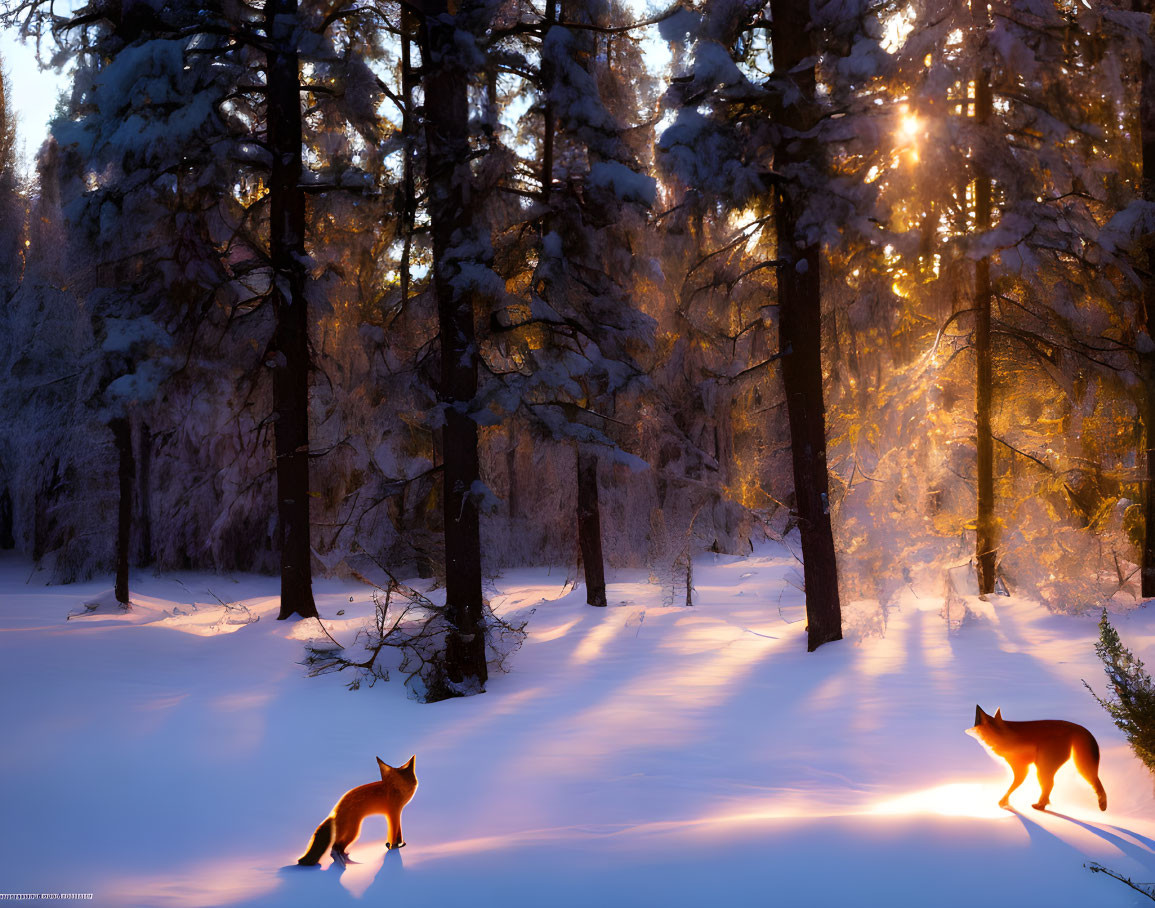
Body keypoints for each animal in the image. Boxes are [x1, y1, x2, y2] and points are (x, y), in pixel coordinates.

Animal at [970, 702, 1104, 808]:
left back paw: (1040, 805)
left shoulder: (1021, 766)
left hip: (1043, 767)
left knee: (1049, 784)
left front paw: (1004, 802)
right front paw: (1005, 801)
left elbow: (1014, 785)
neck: (1003, 734)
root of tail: (1076, 727)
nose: (977, 705)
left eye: (979, 719)